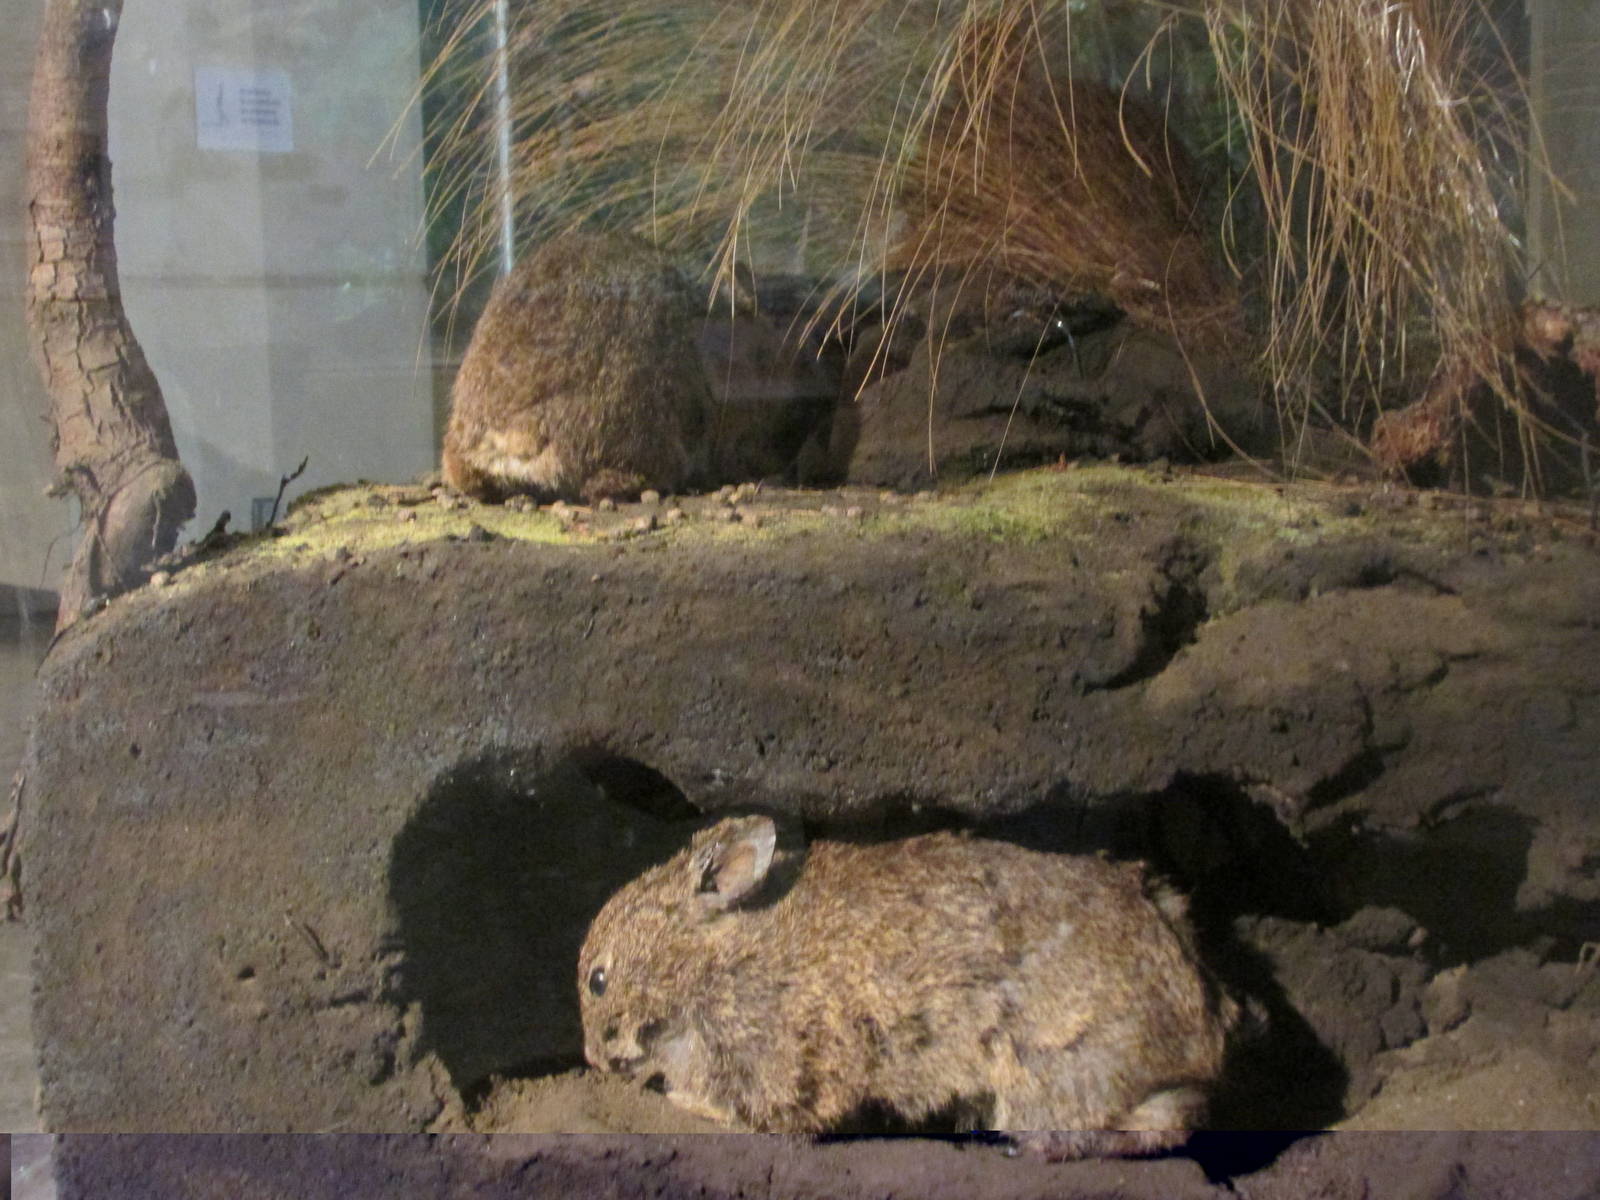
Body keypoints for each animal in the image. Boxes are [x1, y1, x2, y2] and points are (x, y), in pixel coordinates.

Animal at [577, 813, 1239, 1158]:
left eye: (599, 980)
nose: (592, 1057)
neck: (712, 959)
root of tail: (1204, 1027)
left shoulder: (787, 1060)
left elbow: (769, 1118)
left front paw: (680, 1098)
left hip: (1047, 1073)